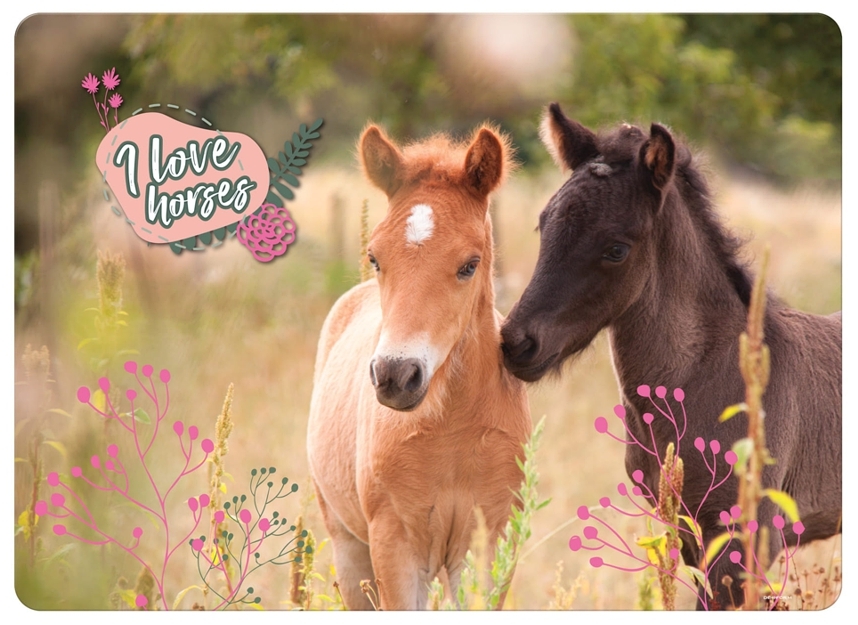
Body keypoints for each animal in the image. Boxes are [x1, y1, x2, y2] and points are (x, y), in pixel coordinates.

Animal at [306, 123, 532, 610]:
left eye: (470, 264)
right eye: (375, 257)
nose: (396, 376)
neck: (453, 428)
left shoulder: (489, 540)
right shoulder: (395, 545)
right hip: (349, 548)